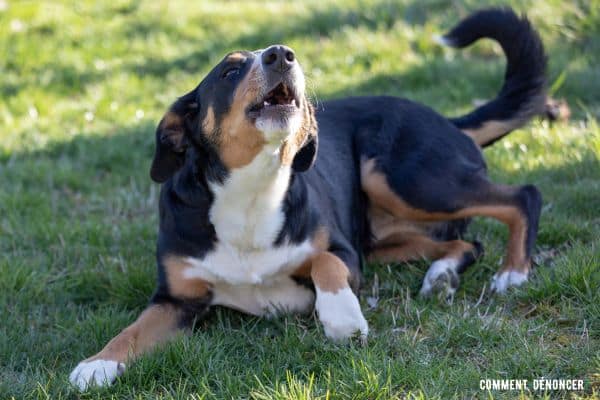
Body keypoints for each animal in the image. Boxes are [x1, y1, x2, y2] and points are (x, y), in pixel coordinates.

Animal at [71, 8, 548, 390]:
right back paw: (442, 275)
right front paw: (97, 365)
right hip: (385, 237)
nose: (281, 54)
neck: (252, 192)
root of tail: (447, 121)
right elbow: (133, 330)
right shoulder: (175, 299)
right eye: (229, 72)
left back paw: (513, 272)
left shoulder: (345, 254)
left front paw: (342, 316)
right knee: (466, 242)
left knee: (523, 196)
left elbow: (324, 261)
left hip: (405, 177)